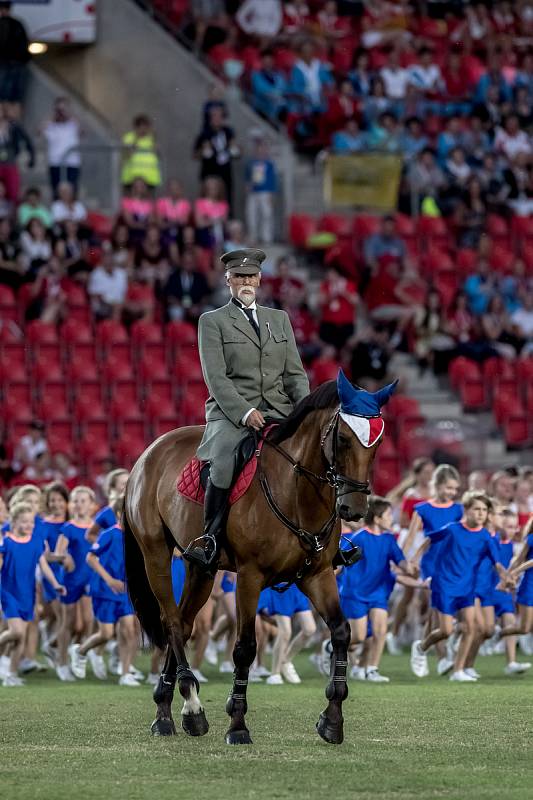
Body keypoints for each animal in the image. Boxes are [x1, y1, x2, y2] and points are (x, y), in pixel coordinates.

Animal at [122, 372, 392, 748]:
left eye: (376, 445)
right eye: (342, 438)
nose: (354, 508)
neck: (297, 491)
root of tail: (150, 452)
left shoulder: (318, 575)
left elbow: (340, 632)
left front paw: (332, 719)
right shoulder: (250, 577)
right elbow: (245, 648)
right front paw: (237, 724)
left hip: (201, 569)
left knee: (184, 623)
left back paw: (167, 712)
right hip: (155, 554)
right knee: (172, 622)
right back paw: (191, 704)